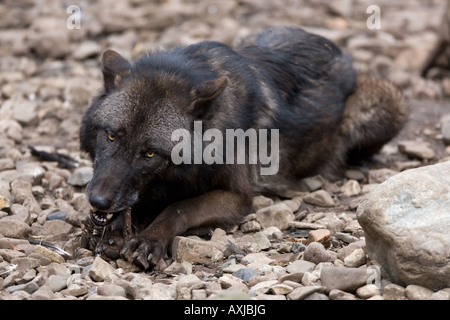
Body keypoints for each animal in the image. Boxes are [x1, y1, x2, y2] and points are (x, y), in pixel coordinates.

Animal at [81, 26, 408, 268]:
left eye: (149, 153)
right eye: (111, 137)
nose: (98, 201)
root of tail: (336, 49)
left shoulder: (238, 197)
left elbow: (179, 207)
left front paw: (149, 239)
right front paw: (114, 230)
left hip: (388, 98)